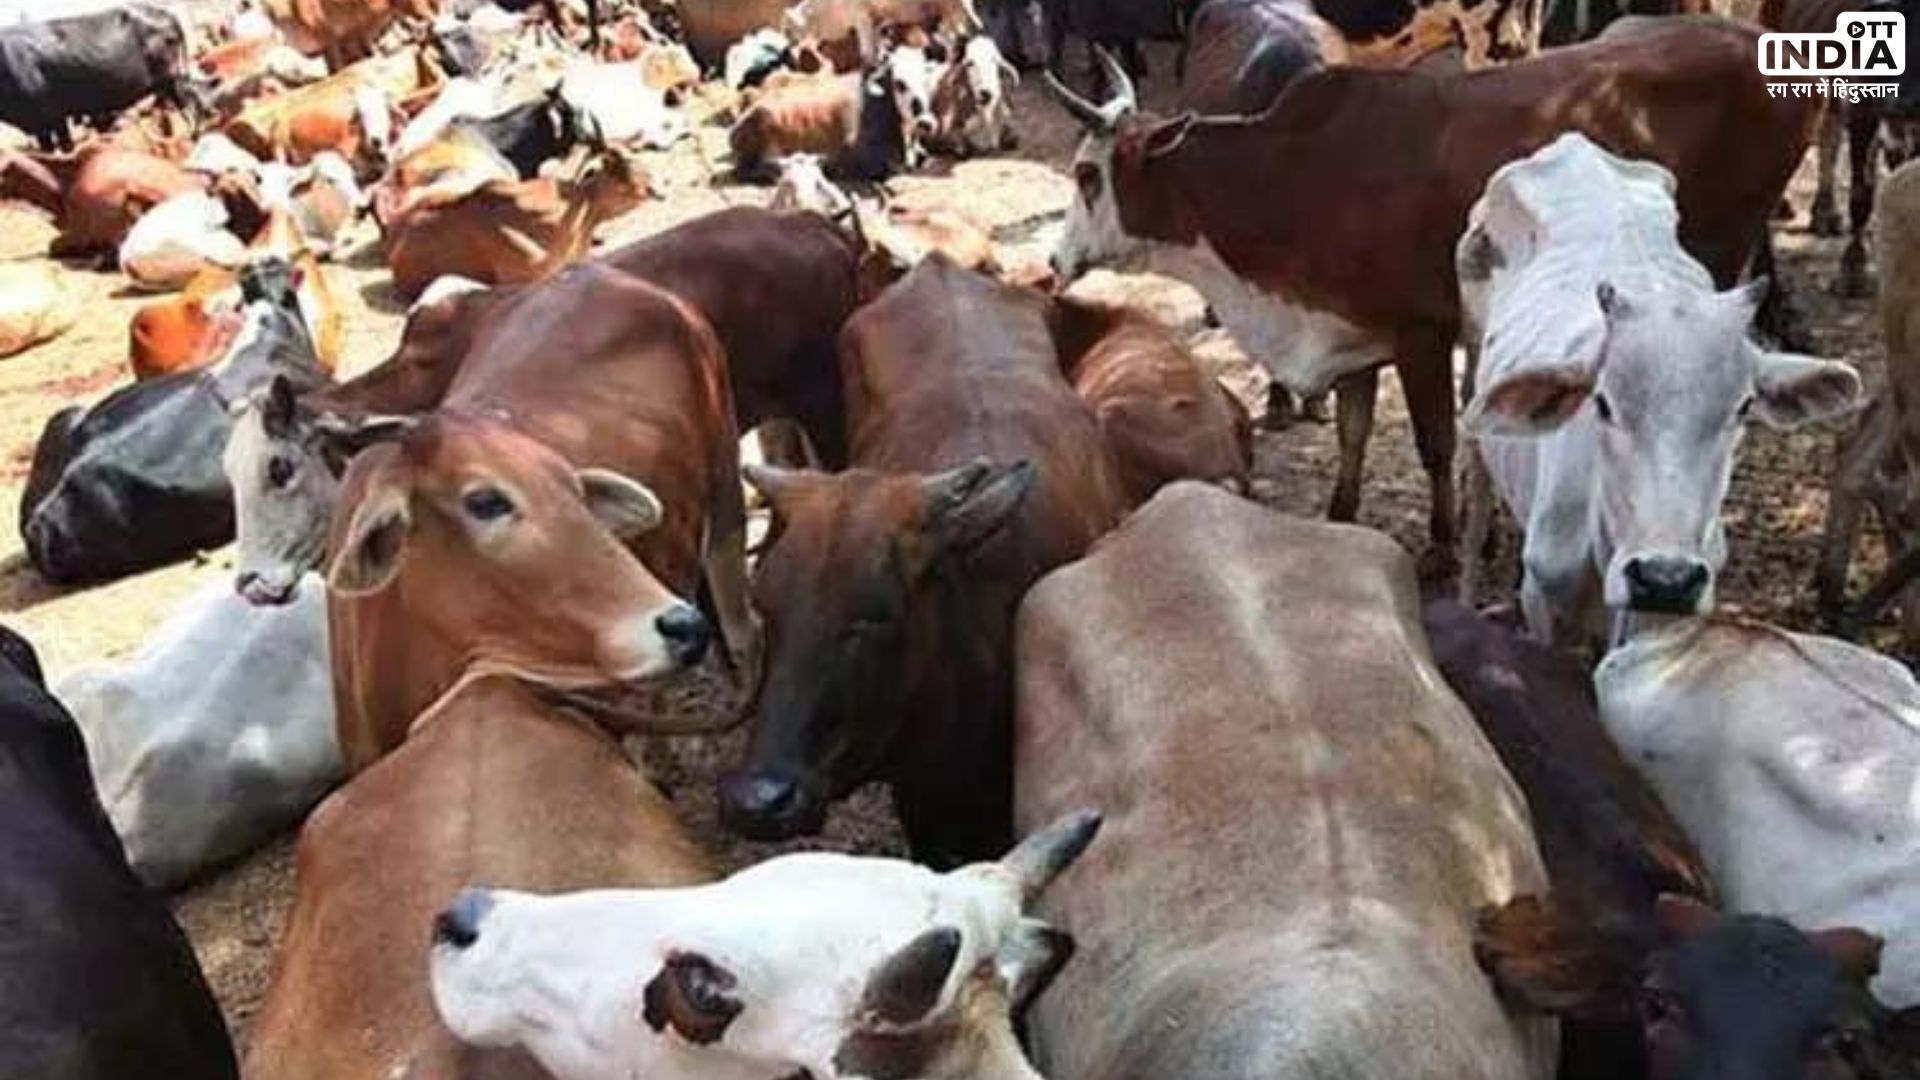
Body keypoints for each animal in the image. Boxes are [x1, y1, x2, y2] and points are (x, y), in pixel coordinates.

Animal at [0, 5, 188, 151]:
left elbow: (65, 143)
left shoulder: (53, 113)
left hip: (171, 75)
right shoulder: (40, 123)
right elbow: (47, 146)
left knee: (181, 100)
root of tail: (167, 14)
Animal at [1458, 134, 1861, 646]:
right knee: (1475, 501)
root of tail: (1573, 145)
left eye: (1743, 408)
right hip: (1473, 366)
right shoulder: (1543, 602)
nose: (1664, 579)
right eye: (1602, 403)